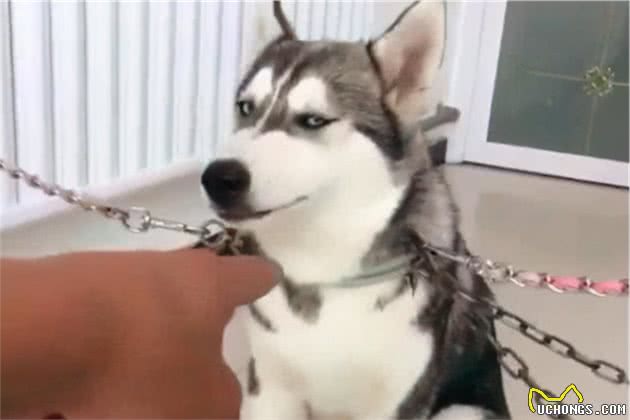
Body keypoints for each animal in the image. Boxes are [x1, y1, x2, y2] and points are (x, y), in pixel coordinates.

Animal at [200, 1, 510, 418]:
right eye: (245, 108)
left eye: (314, 119)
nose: (217, 178)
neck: (323, 265)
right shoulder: (269, 388)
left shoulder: (399, 400)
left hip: (464, 410)